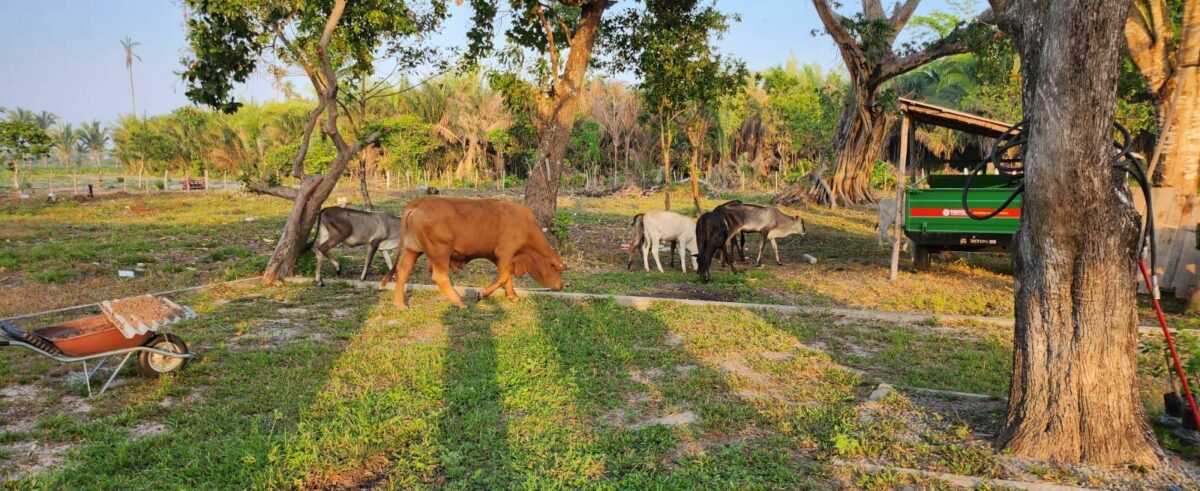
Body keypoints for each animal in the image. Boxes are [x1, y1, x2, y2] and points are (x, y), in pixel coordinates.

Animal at [379, 195, 566, 307]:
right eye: (557, 269)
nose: (561, 286)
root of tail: (420, 202)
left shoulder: (502, 258)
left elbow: (507, 277)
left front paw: (512, 296)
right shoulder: (505, 254)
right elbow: (504, 277)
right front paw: (482, 293)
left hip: (412, 250)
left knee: (402, 272)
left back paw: (400, 305)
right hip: (440, 253)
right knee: (440, 277)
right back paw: (460, 302)